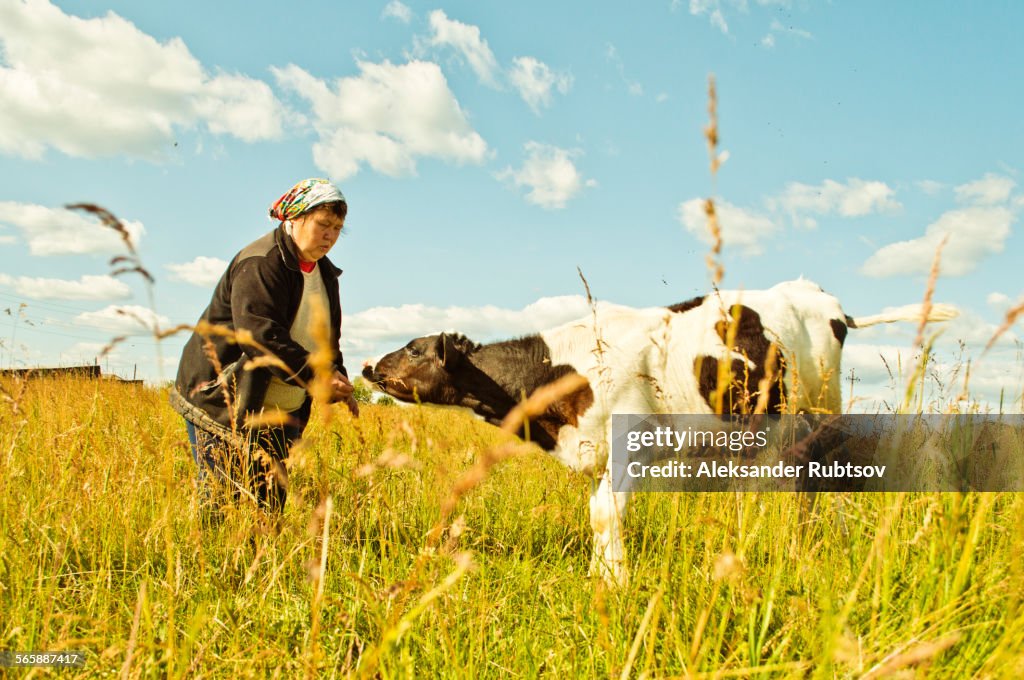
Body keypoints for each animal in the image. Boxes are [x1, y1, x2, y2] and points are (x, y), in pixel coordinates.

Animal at [362, 280, 958, 585]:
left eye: (414, 348)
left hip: (822, 403)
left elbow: (608, 514)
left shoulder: (629, 446)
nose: (367, 365)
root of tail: (825, 299)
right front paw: (601, 575)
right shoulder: (597, 453)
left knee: (831, 473)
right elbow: (598, 514)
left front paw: (616, 584)